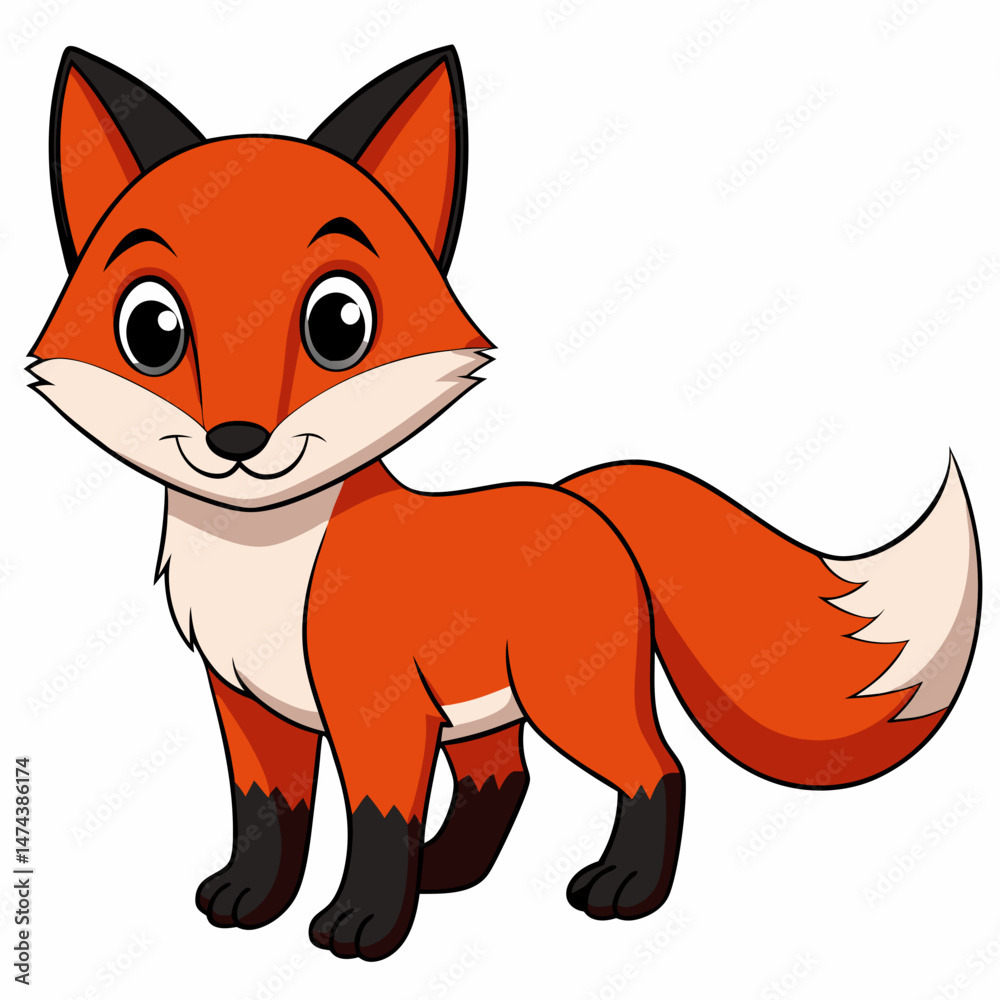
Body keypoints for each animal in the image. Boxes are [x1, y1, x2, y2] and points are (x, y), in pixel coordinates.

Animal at [29, 46, 980, 961]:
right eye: (152, 330)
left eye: (339, 323)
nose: (236, 439)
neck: (263, 564)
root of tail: (583, 498)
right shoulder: (249, 706)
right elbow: (267, 814)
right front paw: (249, 900)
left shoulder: (378, 709)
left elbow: (376, 821)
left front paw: (363, 926)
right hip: (488, 707)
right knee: (504, 778)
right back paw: (449, 870)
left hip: (568, 697)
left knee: (657, 769)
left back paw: (623, 889)